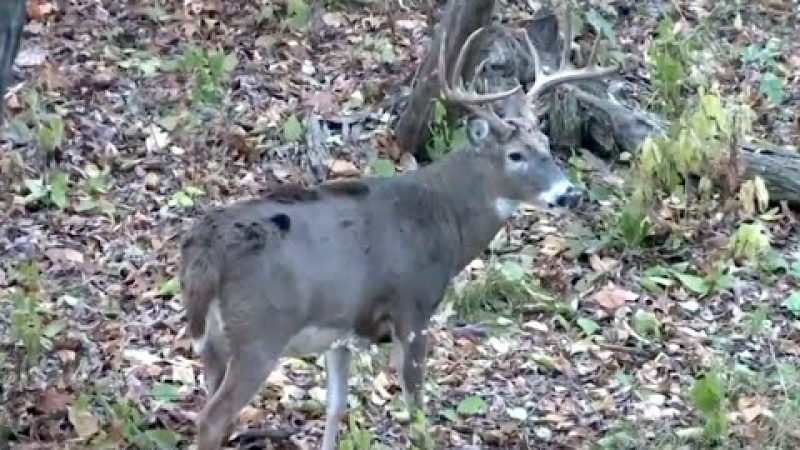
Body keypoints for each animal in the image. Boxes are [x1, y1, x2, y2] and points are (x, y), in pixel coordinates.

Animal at [181, 7, 620, 450]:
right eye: (516, 155)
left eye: (546, 144)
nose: (570, 194)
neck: (444, 219)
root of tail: (205, 249)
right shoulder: (413, 307)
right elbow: (417, 413)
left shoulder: (342, 331)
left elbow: (335, 407)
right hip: (258, 332)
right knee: (212, 419)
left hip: (213, 343)